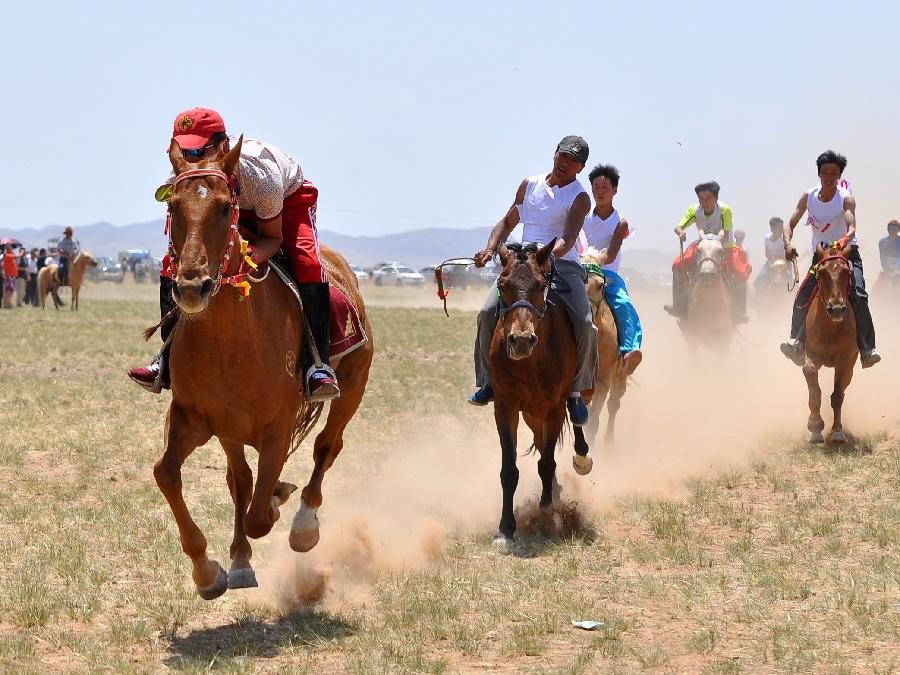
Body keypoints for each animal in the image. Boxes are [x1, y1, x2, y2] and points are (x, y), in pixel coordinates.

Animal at [155, 136, 372, 596]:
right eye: (174, 207)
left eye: (224, 207)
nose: (192, 287)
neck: (230, 344)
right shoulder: (194, 417)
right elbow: (168, 473)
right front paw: (209, 571)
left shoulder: (278, 427)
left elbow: (259, 515)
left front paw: (279, 504)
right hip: (230, 431)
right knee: (240, 480)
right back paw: (241, 558)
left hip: (352, 388)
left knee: (327, 446)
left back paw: (304, 524)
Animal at [486, 240, 592, 548]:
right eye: (503, 283)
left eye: (540, 284)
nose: (521, 340)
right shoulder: (505, 408)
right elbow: (509, 470)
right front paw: (506, 529)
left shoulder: (554, 409)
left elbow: (546, 463)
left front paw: (546, 513)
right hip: (532, 415)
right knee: (541, 440)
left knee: (576, 421)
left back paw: (581, 458)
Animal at [800, 242, 856, 444]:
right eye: (822, 273)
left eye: (846, 272)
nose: (836, 309)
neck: (829, 328)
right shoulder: (811, 355)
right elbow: (813, 384)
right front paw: (815, 426)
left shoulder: (844, 359)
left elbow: (837, 394)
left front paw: (837, 431)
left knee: (844, 387)